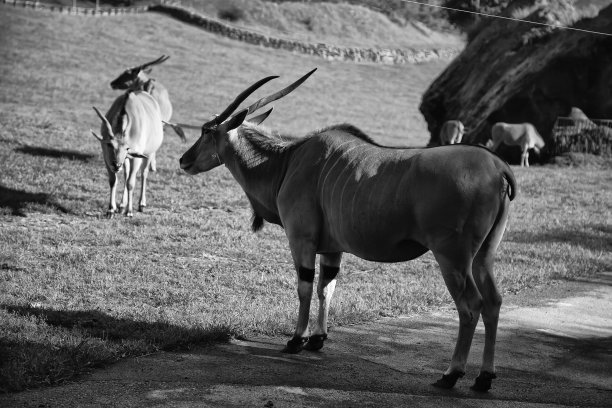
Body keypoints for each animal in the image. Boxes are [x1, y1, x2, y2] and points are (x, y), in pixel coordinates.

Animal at [91, 89, 163, 217]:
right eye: (109, 144)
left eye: (127, 148)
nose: (116, 165)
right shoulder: (107, 157)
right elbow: (113, 181)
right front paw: (111, 209)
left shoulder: (136, 158)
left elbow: (131, 183)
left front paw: (129, 212)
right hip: (126, 160)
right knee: (126, 174)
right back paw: (121, 205)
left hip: (149, 153)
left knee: (144, 174)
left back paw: (141, 204)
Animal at [177, 70, 516, 392]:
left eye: (207, 131)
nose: (183, 160)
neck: (287, 162)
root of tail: (498, 167)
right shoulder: (331, 248)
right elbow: (326, 287)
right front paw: (318, 339)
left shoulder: (301, 240)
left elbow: (304, 286)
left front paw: (296, 340)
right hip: (482, 257)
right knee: (494, 301)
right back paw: (484, 377)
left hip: (452, 258)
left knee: (471, 306)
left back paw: (451, 374)